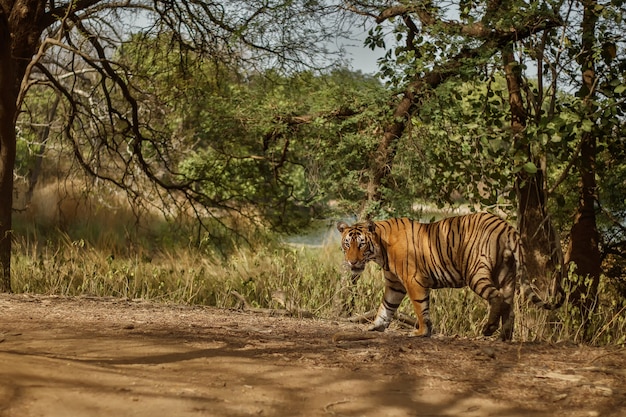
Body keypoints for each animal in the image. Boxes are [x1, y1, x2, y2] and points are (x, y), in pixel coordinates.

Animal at [334, 211, 564, 342]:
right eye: (347, 244)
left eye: (361, 244)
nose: (352, 262)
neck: (380, 250)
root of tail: (505, 225)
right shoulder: (395, 284)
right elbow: (386, 307)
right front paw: (375, 326)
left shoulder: (412, 280)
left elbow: (420, 307)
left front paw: (421, 332)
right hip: (507, 274)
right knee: (509, 305)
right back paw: (504, 337)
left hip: (476, 271)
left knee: (497, 297)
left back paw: (489, 329)